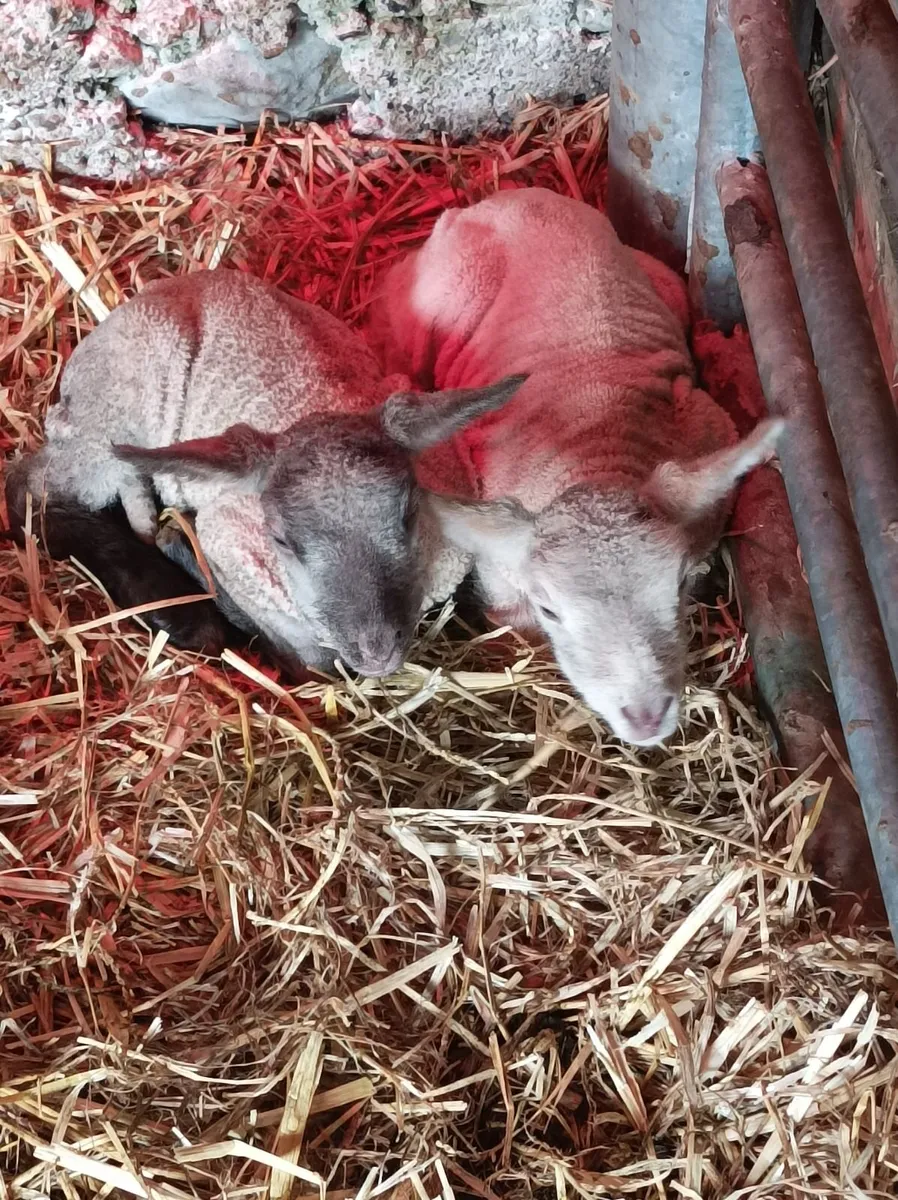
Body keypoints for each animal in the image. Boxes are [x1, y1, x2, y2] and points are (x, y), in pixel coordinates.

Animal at [5, 268, 524, 677]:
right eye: (280, 540)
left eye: (408, 516)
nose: (375, 650)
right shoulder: (228, 538)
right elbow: (309, 661)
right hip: (118, 404)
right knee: (31, 490)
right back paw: (180, 609)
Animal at [369, 187, 783, 745]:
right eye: (550, 608)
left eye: (677, 585)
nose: (646, 716)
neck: (597, 452)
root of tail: (520, 194)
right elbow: (511, 620)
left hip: (663, 279)